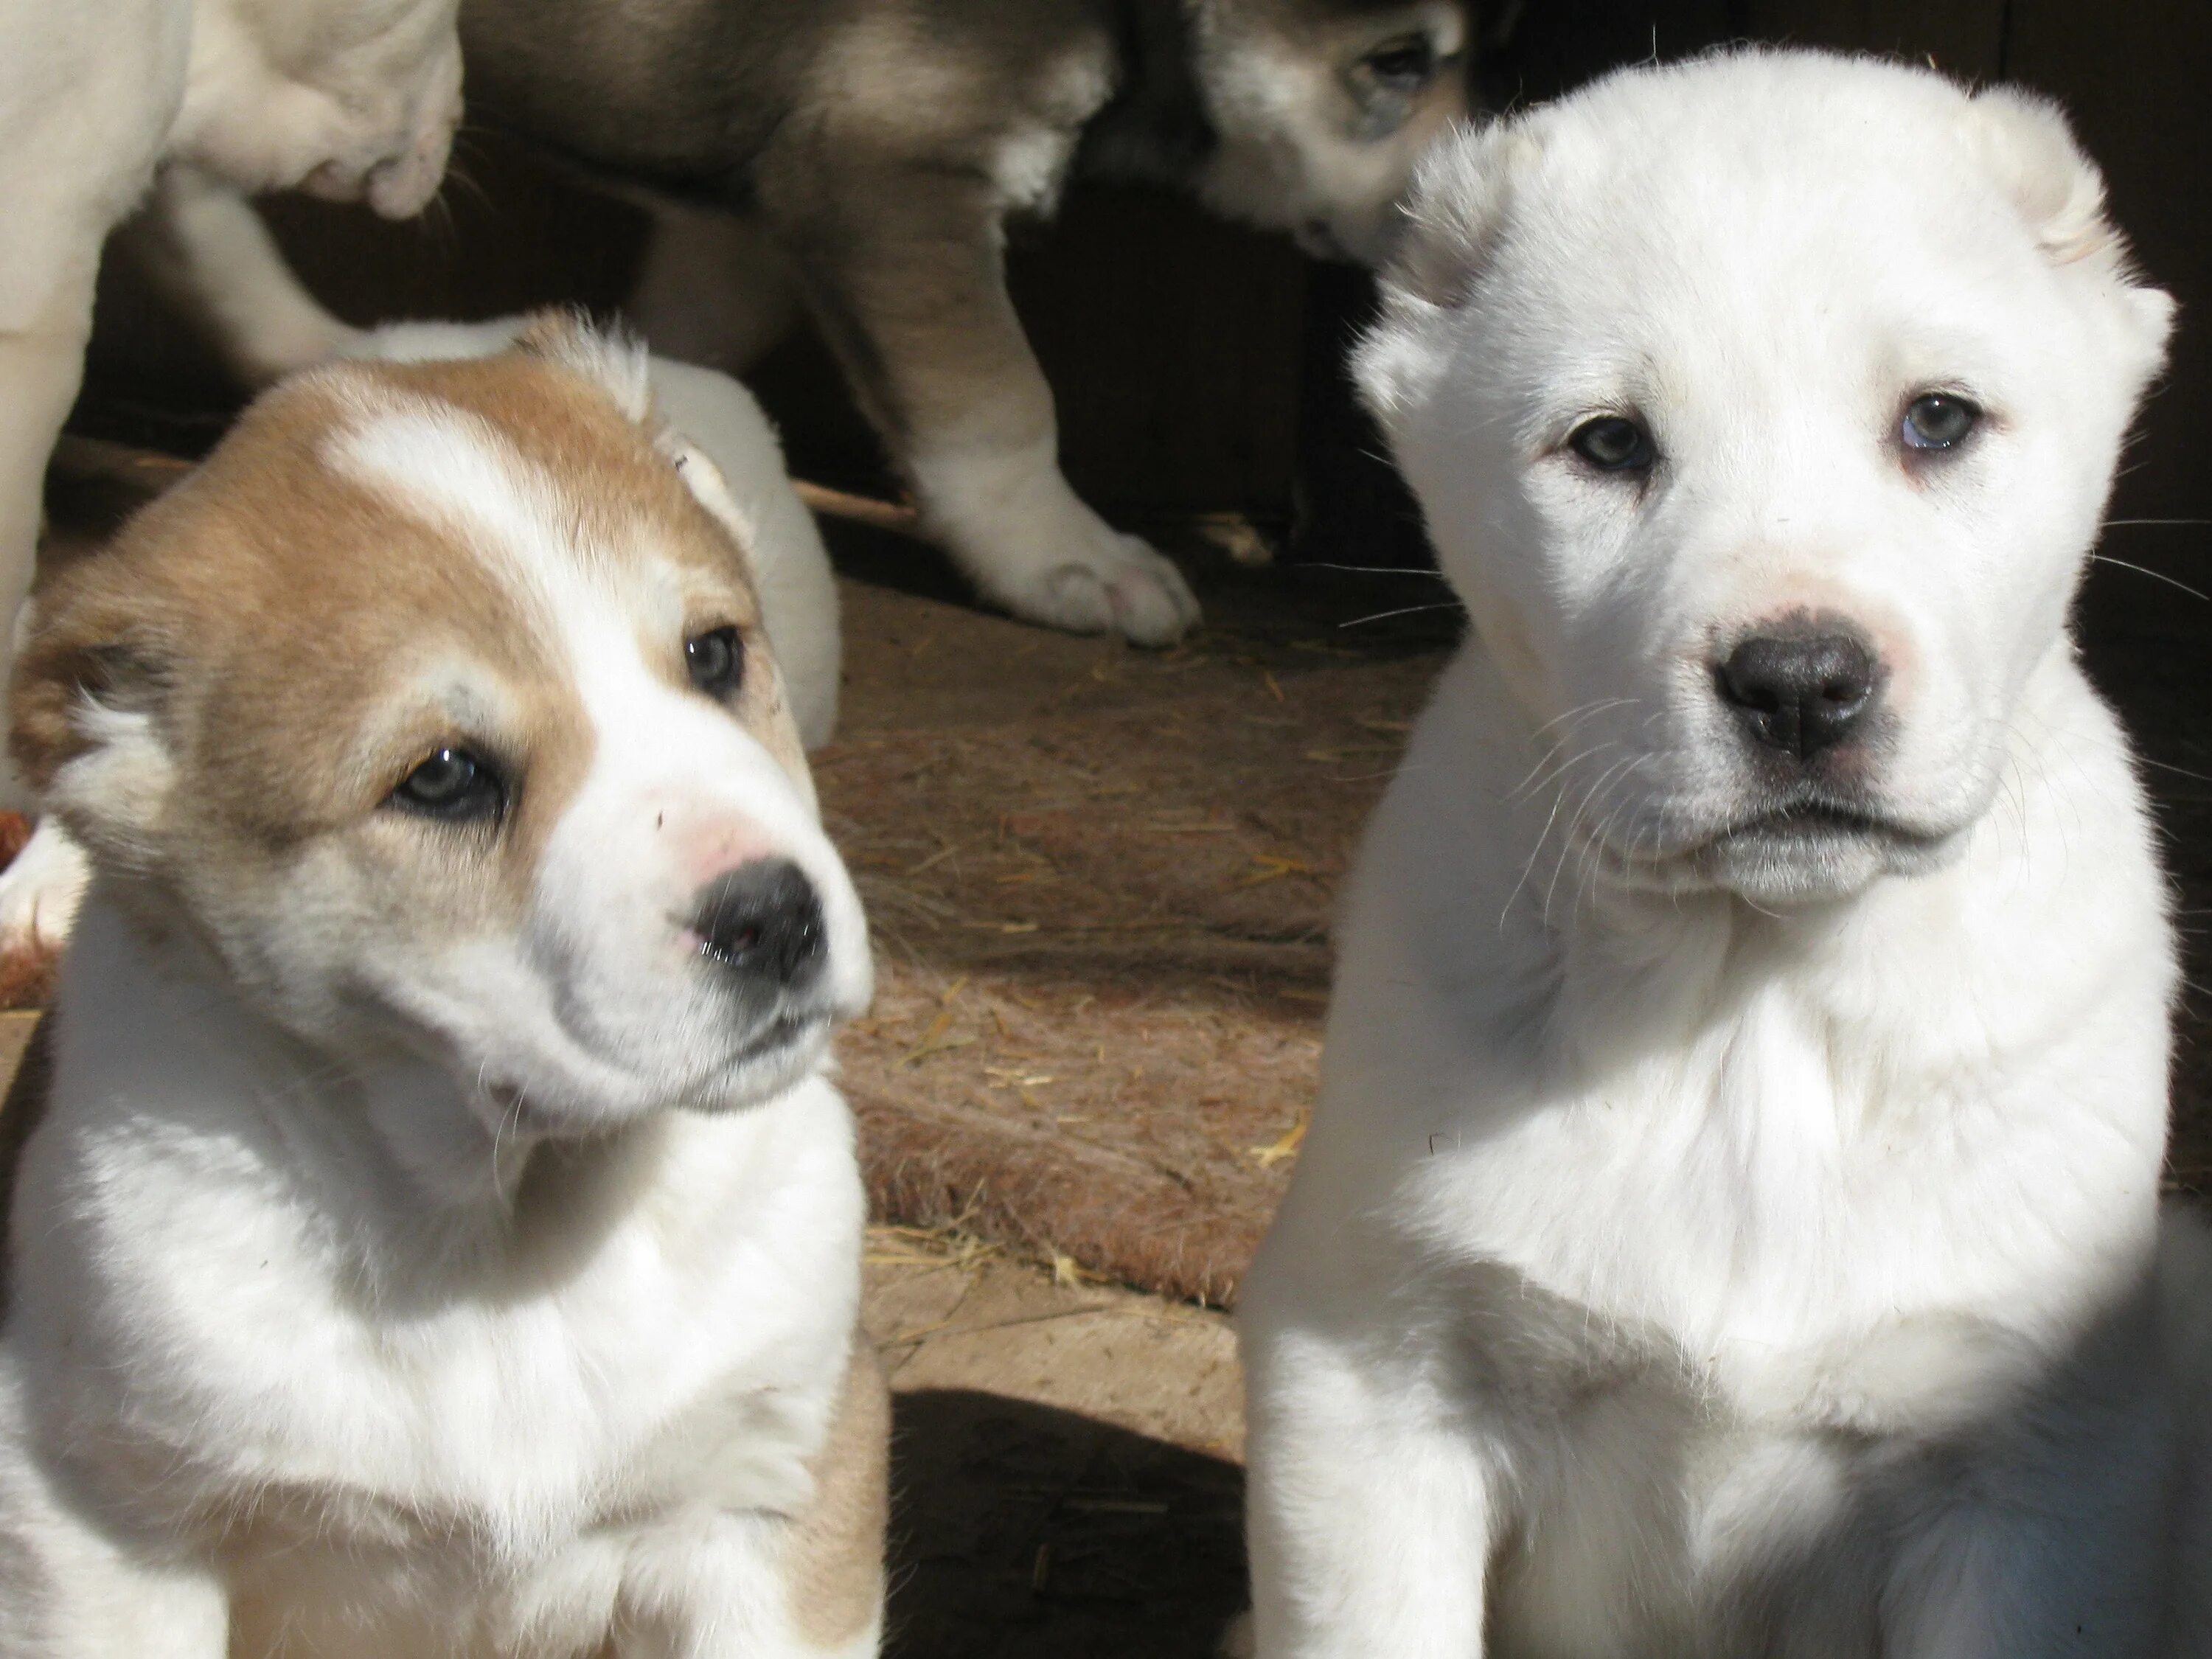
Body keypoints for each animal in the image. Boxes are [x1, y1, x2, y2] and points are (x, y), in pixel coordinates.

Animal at [0, 319, 880, 1655]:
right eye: (445, 778)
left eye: (714, 653)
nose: (776, 919)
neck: (502, 1232)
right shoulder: (97, 1525)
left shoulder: (774, 1496)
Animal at [1239, 52, 2212, 1659]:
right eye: (1609, 444)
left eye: (1937, 422)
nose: (1801, 684)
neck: (1752, 1002)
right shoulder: (1367, 1386)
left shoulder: (2043, 1471)